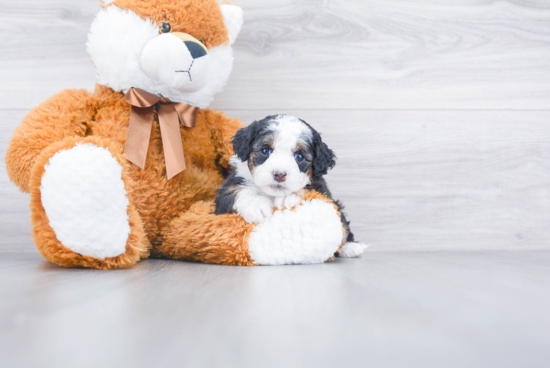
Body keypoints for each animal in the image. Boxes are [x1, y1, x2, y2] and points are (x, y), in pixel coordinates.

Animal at [218, 113, 368, 258]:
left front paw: (288, 197)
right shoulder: (225, 191)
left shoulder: (322, 190)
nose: (279, 174)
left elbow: (308, 188)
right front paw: (256, 206)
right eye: (266, 151)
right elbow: (237, 190)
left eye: (299, 157)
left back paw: (351, 247)